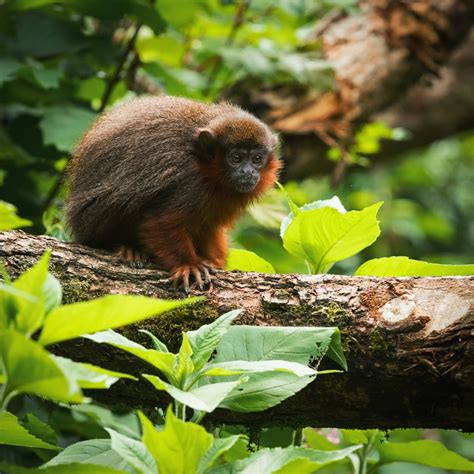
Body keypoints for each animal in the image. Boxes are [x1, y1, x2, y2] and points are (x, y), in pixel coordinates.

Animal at [66, 94, 282, 290]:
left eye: (256, 159)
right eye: (236, 158)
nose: (248, 172)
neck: (203, 166)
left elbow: (209, 225)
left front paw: (210, 261)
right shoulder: (189, 185)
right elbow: (161, 223)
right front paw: (189, 264)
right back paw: (123, 247)